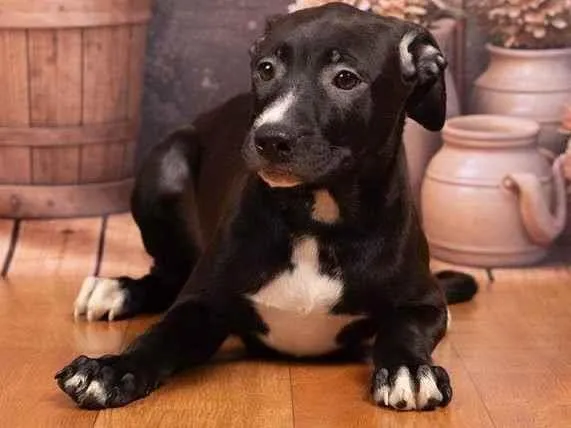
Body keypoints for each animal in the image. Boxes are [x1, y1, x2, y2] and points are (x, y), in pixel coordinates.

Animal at [55, 3, 477, 411]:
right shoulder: (202, 304)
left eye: (345, 78)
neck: (316, 222)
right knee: (170, 274)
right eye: (266, 68)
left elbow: (404, 329)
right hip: (165, 164)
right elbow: (159, 337)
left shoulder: (424, 303)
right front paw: (111, 370)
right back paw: (115, 289)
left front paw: (409, 369)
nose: (270, 138)